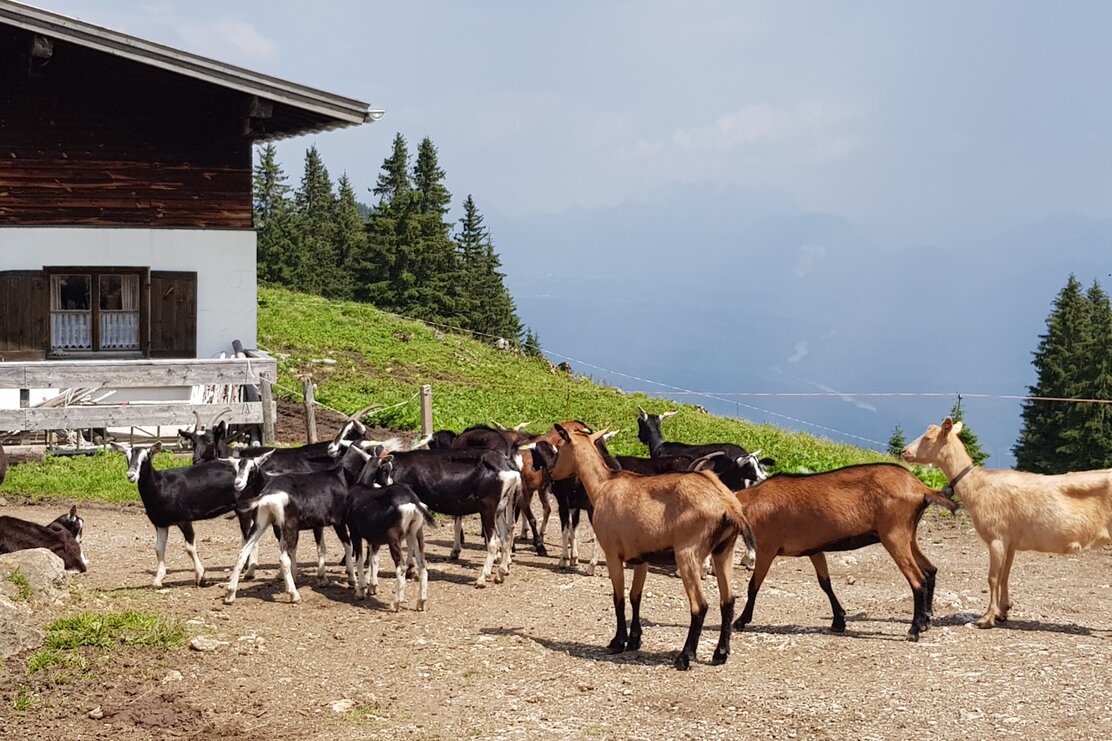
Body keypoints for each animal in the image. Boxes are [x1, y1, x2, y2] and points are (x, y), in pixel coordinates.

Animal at [110, 441, 251, 587]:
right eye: (127, 457)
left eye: (145, 458)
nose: (131, 475)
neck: (161, 486)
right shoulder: (160, 523)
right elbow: (159, 548)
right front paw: (158, 579)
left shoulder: (184, 519)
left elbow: (189, 548)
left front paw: (201, 576)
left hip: (244, 507)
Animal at [343, 447, 436, 611]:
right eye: (386, 470)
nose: (390, 482)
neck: (361, 487)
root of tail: (412, 500)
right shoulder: (373, 538)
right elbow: (374, 559)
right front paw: (372, 587)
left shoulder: (355, 532)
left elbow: (359, 559)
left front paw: (361, 590)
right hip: (416, 534)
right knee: (423, 565)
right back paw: (421, 601)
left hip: (394, 537)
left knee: (401, 566)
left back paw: (395, 603)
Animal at [550, 424, 756, 670]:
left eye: (560, 448)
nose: (551, 473)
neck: (602, 485)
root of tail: (728, 505)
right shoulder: (642, 558)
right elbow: (634, 597)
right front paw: (635, 640)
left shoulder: (612, 553)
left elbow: (618, 598)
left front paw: (618, 641)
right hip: (724, 550)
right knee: (728, 601)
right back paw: (720, 654)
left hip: (688, 552)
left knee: (700, 605)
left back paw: (685, 657)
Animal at [733, 463, 956, 641]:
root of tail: (921, 488)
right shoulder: (814, 549)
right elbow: (825, 583)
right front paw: (839, 621)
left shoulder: (767, 547)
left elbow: (753, 586)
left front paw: (741, 621)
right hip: (908, 536)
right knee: (930, 570)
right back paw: (926, 622)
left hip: (894, 535)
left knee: (917, 579)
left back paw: (914, 630)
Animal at [902, 416, 1112, 629]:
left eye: (928, 438)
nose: (904, 451)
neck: (977, 487)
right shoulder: (1010, 542)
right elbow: (1005, 575)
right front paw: (1003, 612)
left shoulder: (997, 537)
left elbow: (993, 577)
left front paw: (987, 618)